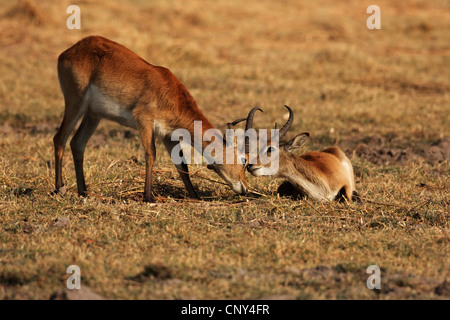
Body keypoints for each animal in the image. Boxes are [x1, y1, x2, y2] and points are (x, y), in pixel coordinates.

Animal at [55, 35, 250, 202]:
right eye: (243, 159)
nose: (245, 188)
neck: (170, 95)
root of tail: (68, 52)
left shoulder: (167, 134)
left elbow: (181, 164)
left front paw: (195, 196)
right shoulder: (145, 121)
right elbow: (151, 154)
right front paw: (148, 197)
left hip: (93, 115)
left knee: (77, 143)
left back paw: (83, 191)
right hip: (75, 102)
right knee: (59, 138)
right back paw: (59, 189)